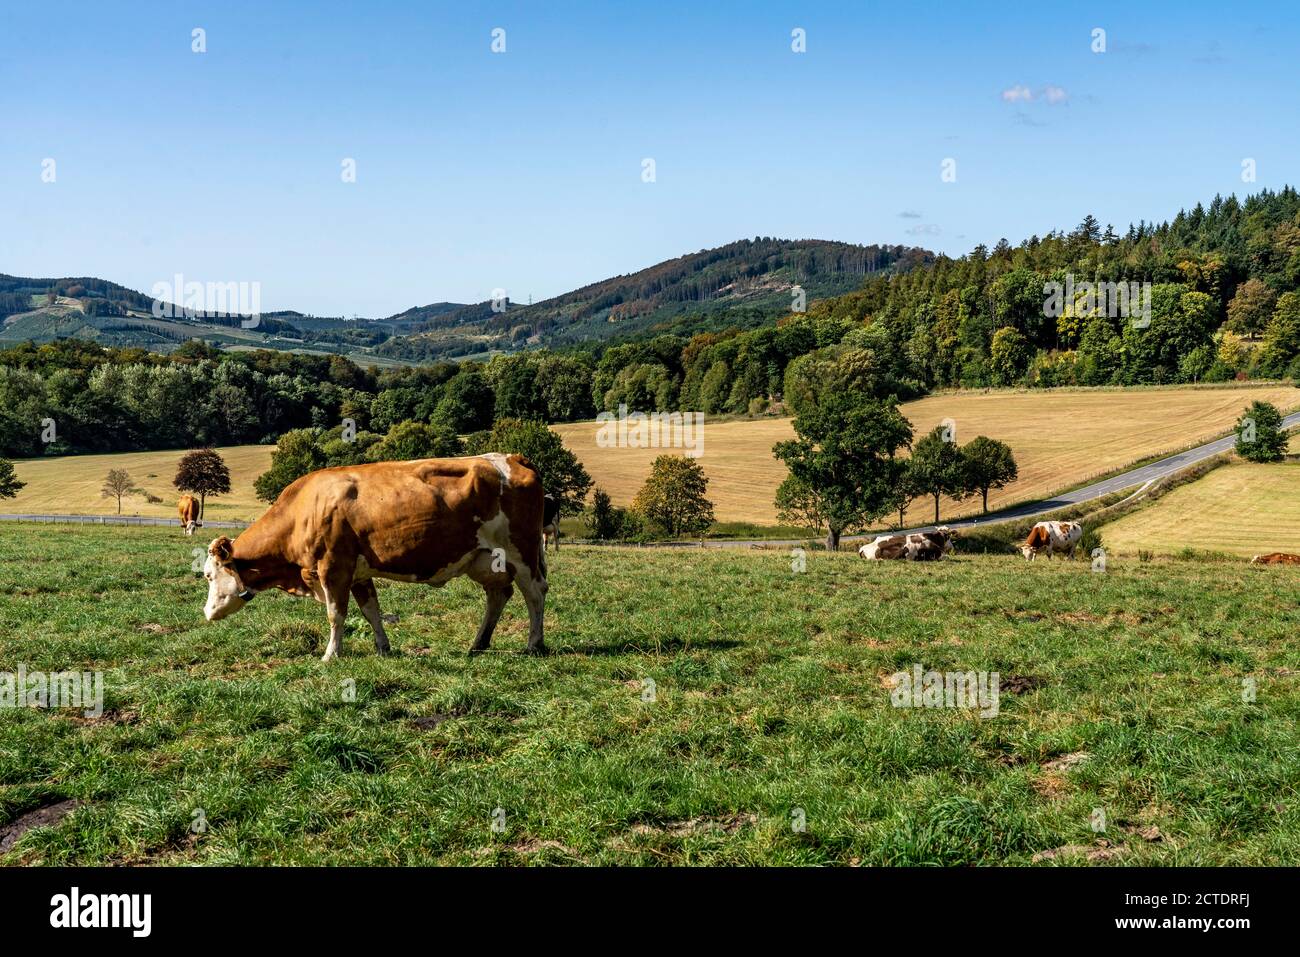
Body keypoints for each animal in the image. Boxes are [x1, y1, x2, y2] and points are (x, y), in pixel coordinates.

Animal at [197, 452, 548, 660]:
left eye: (209, 575)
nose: (206, 612)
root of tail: (511, 457)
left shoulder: (333, 568)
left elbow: (336, 615)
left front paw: (330, 655)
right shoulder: (358, 574)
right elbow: (371, 612)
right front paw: (383, 647)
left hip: (522, 551)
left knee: (534, 593)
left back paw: (534, 643)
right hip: (485, 559)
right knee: (498, 595)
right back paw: (478, 643)